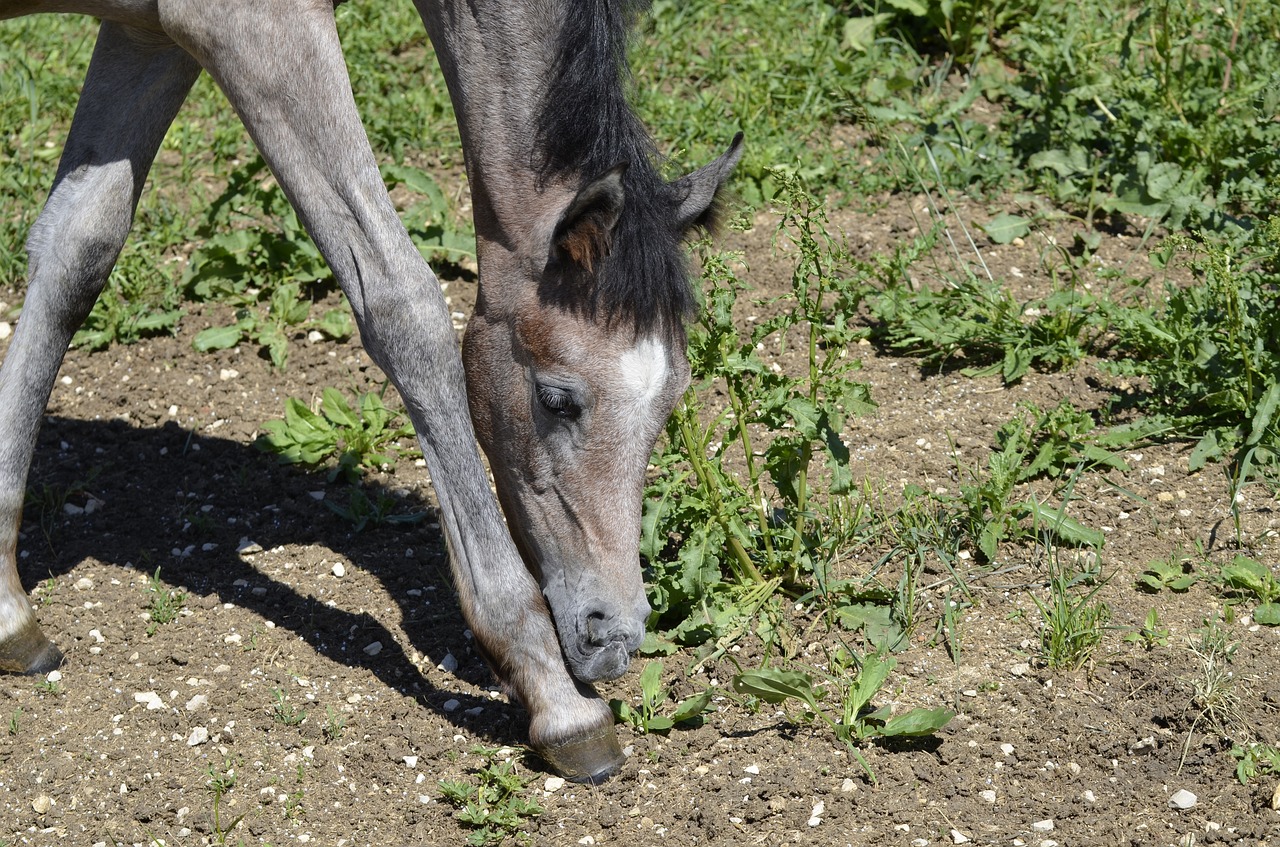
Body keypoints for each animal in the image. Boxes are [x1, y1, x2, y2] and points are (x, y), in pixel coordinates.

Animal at [0, 0, 742, 783]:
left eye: (670, 402)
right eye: (557, 399)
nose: (614, 637)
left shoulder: (147, 30)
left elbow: (80, 244)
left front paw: (9, 611)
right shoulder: (253, 31)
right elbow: (399, 300)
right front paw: (555, 695)